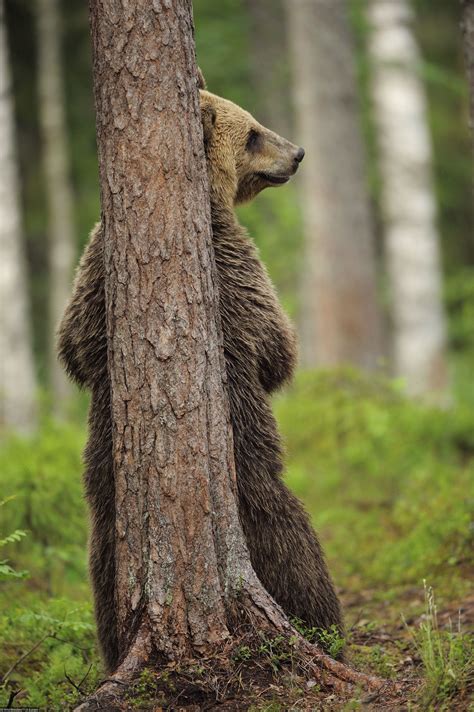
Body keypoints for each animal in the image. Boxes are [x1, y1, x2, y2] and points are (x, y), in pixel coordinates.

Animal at [58, 69, 340, 672]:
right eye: (254, 133)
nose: (298, 153)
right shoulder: (233, 262)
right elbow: (274, 345)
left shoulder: (92, 269)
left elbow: (73, 346)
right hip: (252, 476)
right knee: (291, 539)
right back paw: (323, 624)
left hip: (106, 509)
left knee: (103, 572)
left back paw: (115, 645)